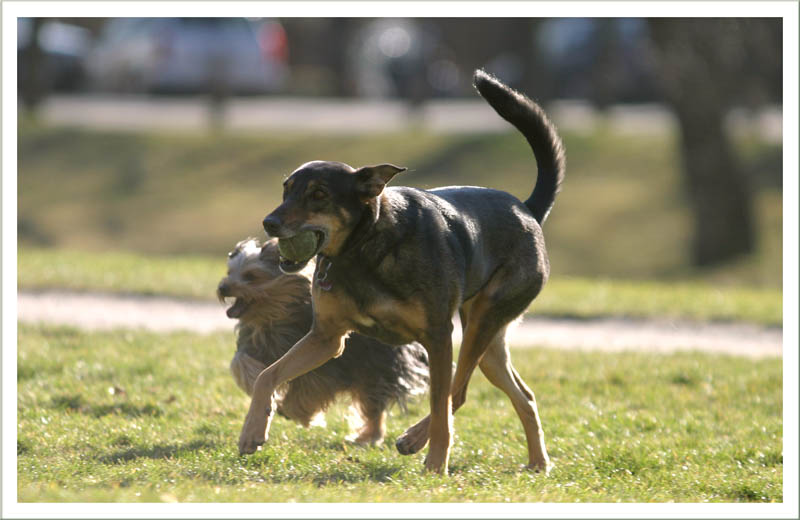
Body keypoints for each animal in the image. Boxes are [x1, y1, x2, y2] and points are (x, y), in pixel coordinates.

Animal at [219, 238, 428, 444]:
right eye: (229, 273)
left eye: (251, 276)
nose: (222, 288)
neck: (275, 316)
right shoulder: (259, 343)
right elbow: (240, 362)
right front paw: (255, 380)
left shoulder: (329, 369)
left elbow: (311, 389)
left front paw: (295, 411)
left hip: (376, 367)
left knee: (373, 401)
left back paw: (369, 437)